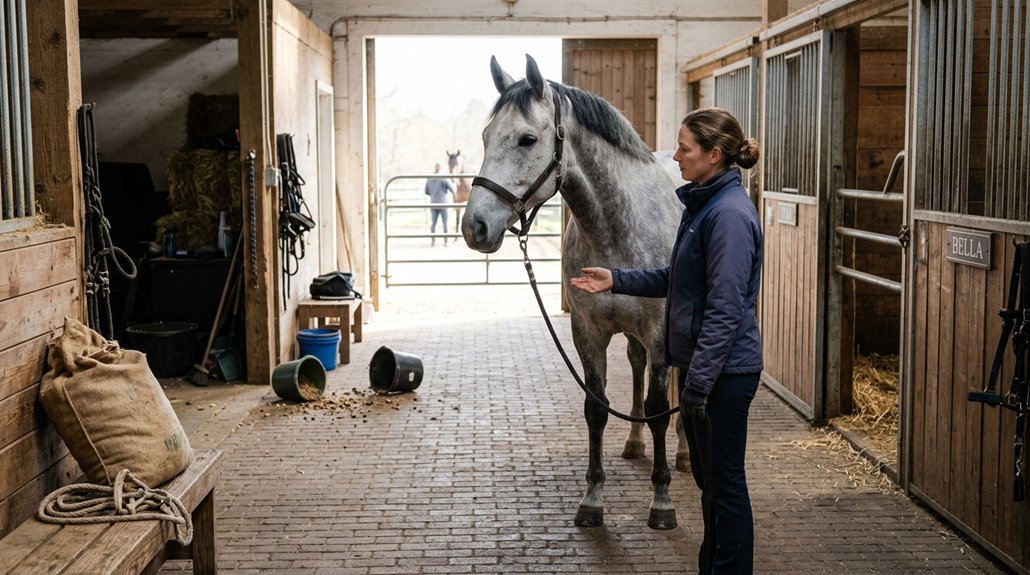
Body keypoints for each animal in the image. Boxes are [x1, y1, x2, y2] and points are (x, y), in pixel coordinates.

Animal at [460, 54, 687, 529]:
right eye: (487, 136)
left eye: (527, 139)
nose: (475, 227)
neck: (616, 229)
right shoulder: (588, 333)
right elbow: (596, 408)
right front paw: (592, 499)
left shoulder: (660, 333)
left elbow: (660, 405)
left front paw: (661, 502)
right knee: (635, 366)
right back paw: (635, 442)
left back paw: (685, 455)